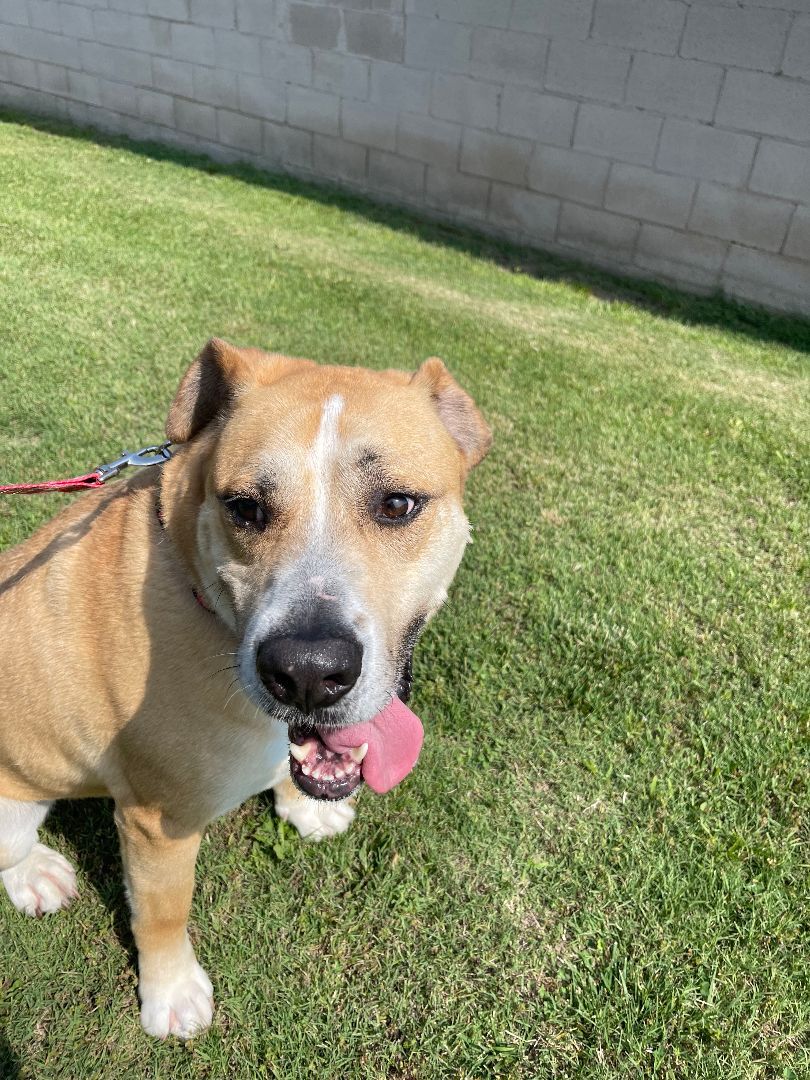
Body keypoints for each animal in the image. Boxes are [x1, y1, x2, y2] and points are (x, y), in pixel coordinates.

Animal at [0, 341, 492, 1041]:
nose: (308, 670)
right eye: (245, 507)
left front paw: (304, 807)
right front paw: (171, 992)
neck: (199, 594)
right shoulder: (158, 823)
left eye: (397, 504)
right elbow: (163, 911)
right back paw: (37, 875)